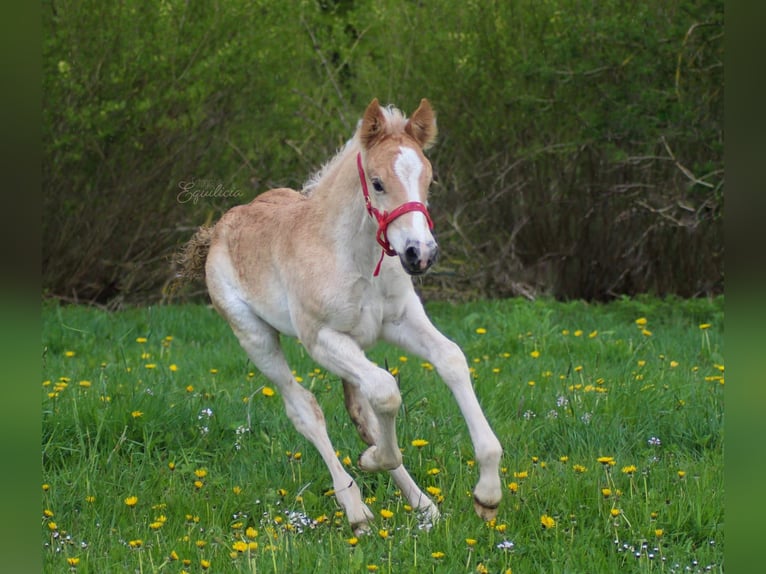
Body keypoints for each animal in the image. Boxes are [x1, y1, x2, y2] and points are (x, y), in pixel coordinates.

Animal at [177, 98, 508, 536]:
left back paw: (424, 506)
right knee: (305, 409)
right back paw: (357, 511)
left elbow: (450, 359)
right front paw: (372, 462)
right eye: (378, 182)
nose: (420, 254)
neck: (355, 256)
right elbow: (385, 391)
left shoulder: (399, 320)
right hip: (255, 338)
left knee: (362, 414)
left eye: (428, 180)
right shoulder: (321, 339)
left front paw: (487, 495)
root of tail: (218, 229)